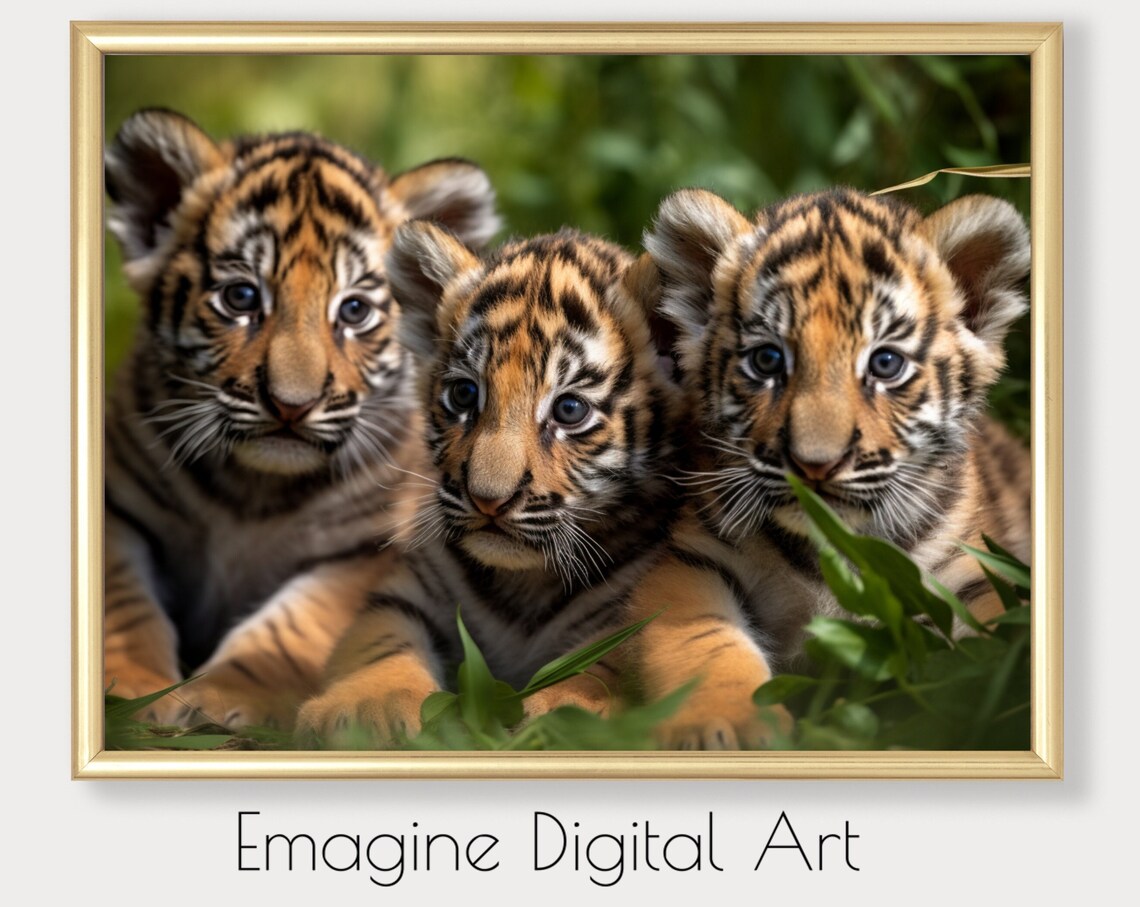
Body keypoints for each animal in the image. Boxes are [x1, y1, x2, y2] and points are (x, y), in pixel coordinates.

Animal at [102, 109, 500, 730]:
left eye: (353, 310)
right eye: (241, 298)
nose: (292, 404)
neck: (253, 490)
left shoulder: (364, 550)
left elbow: (290, 628)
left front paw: (224, 696)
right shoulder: (118, 511)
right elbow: (121, 603)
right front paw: (133, 688)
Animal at [294, 226, 686, 745]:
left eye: (569, 410)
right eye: (464, 395)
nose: (488, 499)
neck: (524, 583)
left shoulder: (630, 610)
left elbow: (608, 665)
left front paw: (570, 712)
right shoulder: (411, 593)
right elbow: (381, 641)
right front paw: (366, 707)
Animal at [619, 186, 1031, 749]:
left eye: (885, 364)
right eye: (768, 360)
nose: (815, 464)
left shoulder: (971, 581)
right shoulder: (693, 562)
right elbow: (703, 641)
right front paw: (726, 725)